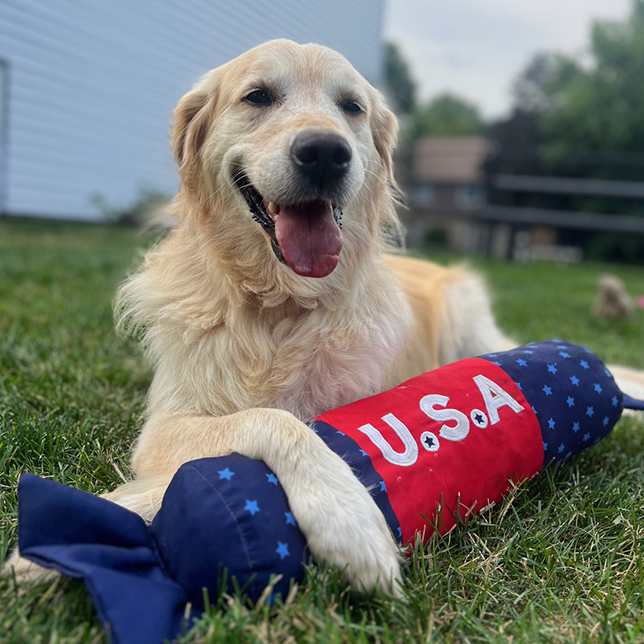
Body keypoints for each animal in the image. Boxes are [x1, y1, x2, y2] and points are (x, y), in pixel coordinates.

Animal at [6, 39, 644, 594]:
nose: (325, 152)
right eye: (258, 96)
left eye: (352, 107)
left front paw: (348, 521)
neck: (281, 306)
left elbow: (282, 428)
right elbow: (271, 420)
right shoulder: (164, 424)